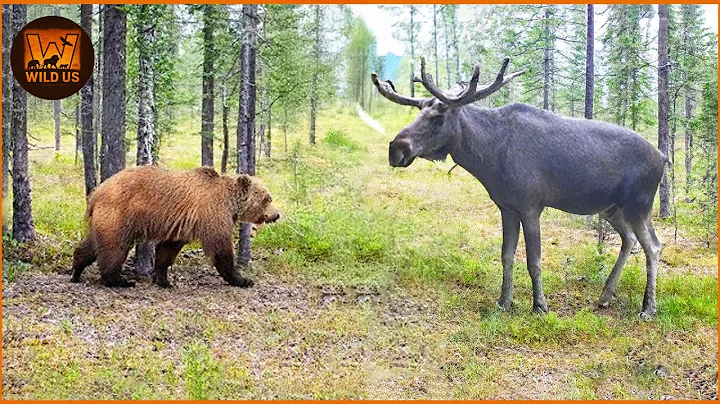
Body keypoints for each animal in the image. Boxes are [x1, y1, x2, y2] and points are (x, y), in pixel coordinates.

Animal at [70, 165, 280, 288]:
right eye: (267, 198)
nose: (277, 214)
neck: (230, 203)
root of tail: (96, 193)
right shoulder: (213, 214)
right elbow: (221, 248)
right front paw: (243, 279)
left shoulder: (180, 225)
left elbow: (167, 250)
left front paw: (164, 280)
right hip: (120, 216)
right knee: (114, 248)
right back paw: (119, 280)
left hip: (104, 220)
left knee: (93, 245)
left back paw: (77, 270)